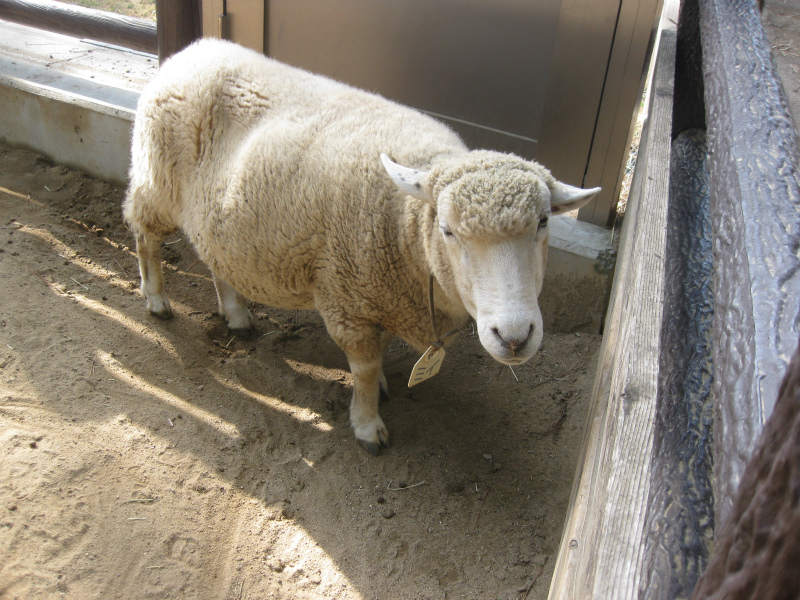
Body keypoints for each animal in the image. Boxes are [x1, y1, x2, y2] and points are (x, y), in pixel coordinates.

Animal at [123, 38, 600, 454]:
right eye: (447, 229)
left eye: (544, 222)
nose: (515, 339)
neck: (405, 226)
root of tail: (191, 50)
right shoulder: (347, 297)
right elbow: (365, 369)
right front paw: (368, 424)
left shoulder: (378, 294)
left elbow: (380, 355)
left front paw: (383, 389)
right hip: (156, 181)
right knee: (144, 235)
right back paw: (156, 300)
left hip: (216, 217)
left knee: (216, 258)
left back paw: (236, 315)